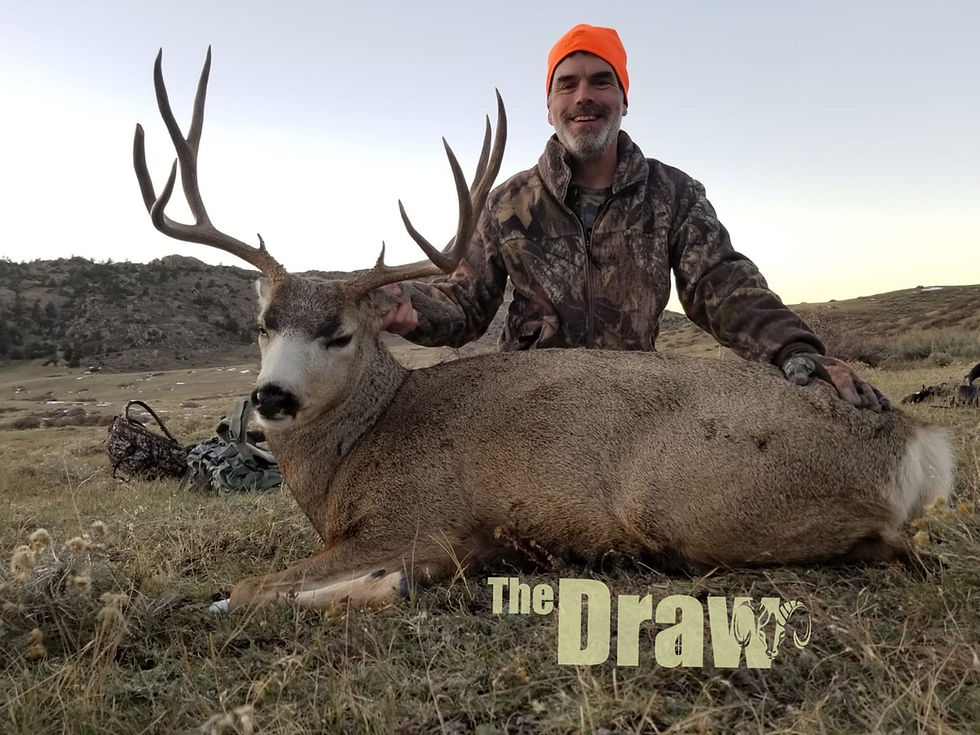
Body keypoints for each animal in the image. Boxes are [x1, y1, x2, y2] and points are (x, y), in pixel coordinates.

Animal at [133, 49, 955, 612]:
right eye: (262, 323)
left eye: (340, 332)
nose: (270, 399)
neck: (356, 450)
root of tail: (913, 438)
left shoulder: (421, 519)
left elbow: (250, 586)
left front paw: (390, 584)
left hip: (692, 497)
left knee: (895, 548)